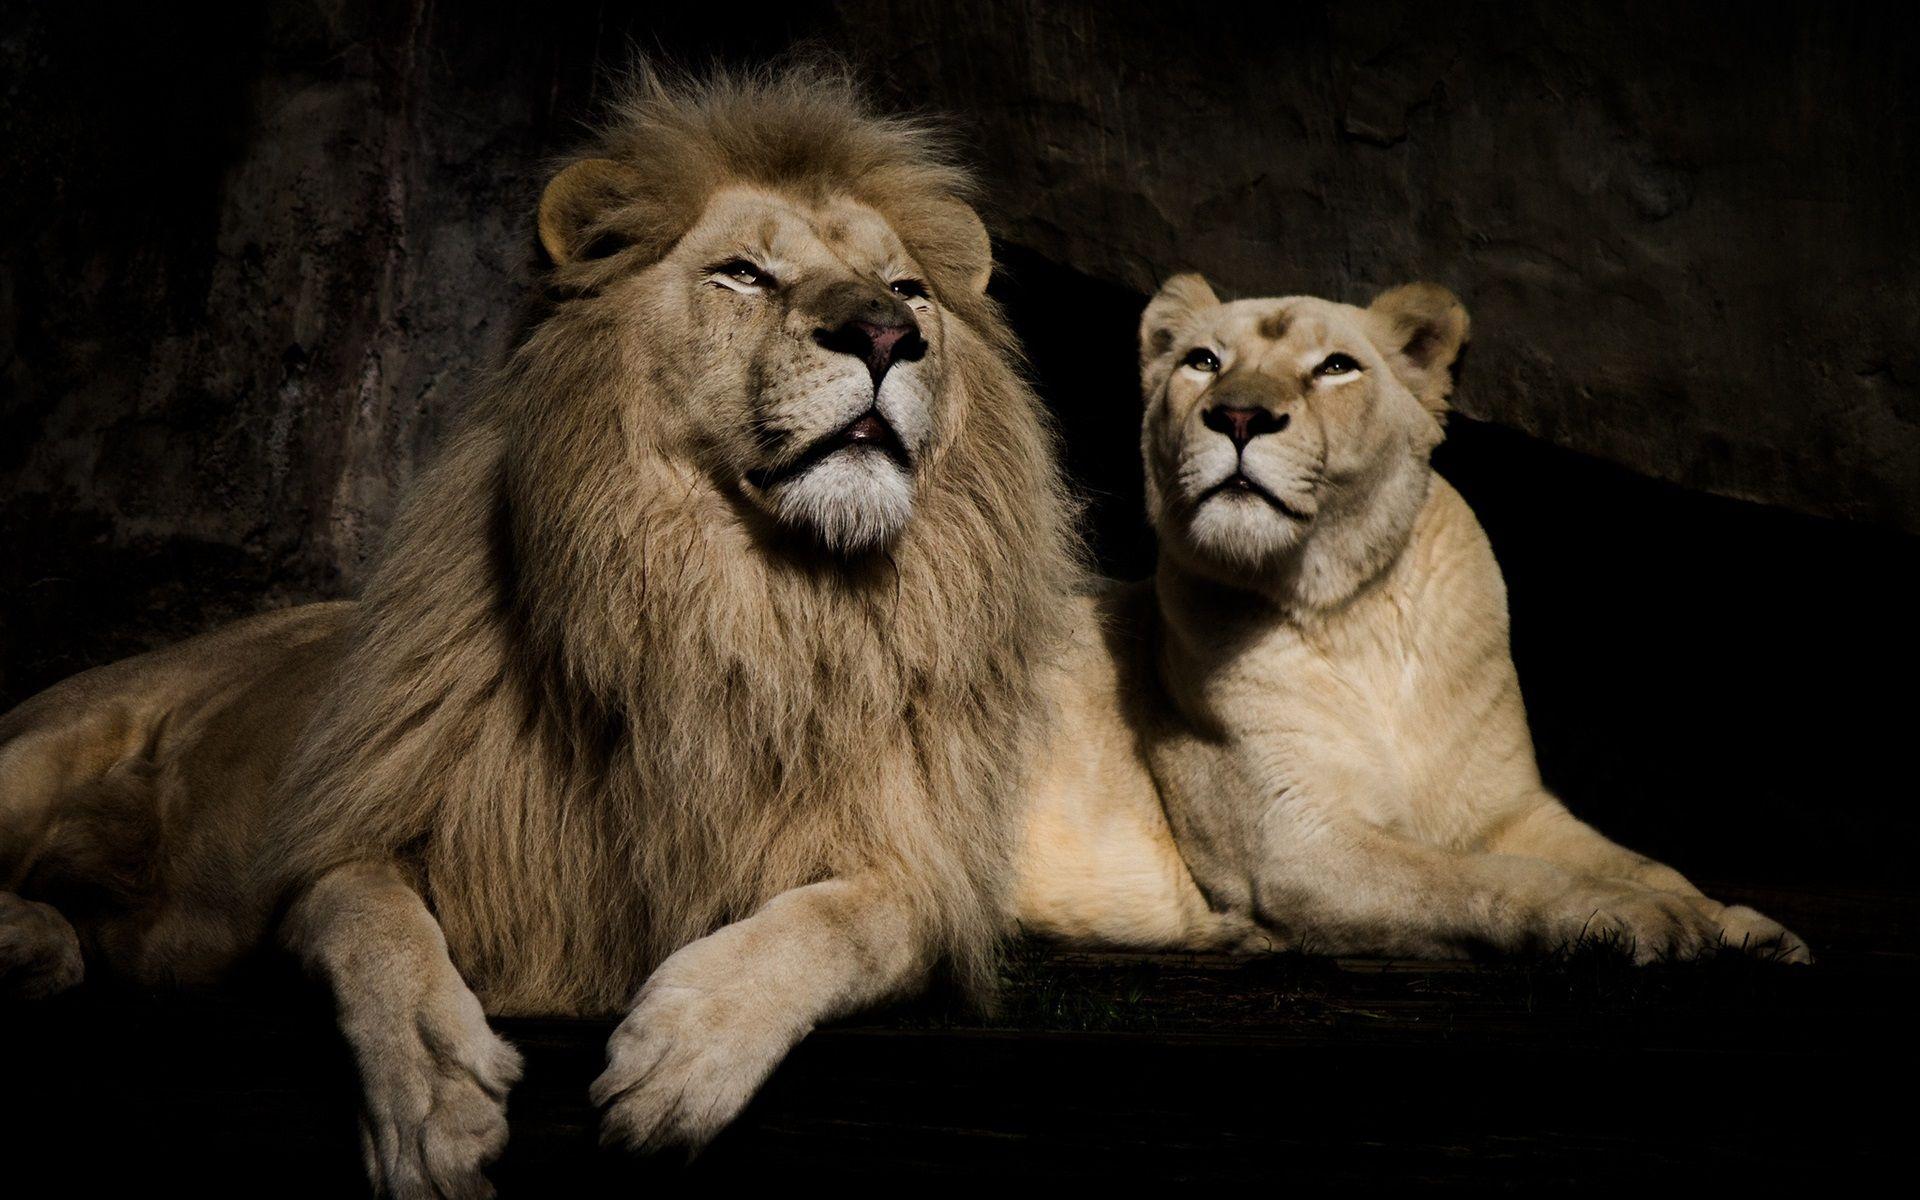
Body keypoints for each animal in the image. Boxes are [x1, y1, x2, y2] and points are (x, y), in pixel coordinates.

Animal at [0, 65, 1079, 1196]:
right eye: (742, 274)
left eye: (909, 291)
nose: (883, 336)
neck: (746, 602)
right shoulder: (349, 835)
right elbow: (372, 924)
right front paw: (433, 1106)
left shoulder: (920, 868)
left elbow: (847, 923)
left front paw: (686, 1051)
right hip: (52, 743)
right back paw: (36, 940)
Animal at [1013, 275, 1811, 965]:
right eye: (1202, 361)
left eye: (1336, 367)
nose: (1238, 416)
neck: (1351, 613)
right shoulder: (1294, 845)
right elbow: (1488, 879)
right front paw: (1642, 921)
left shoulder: (1509, 810)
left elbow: (1646, 864)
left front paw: (1738, 926)